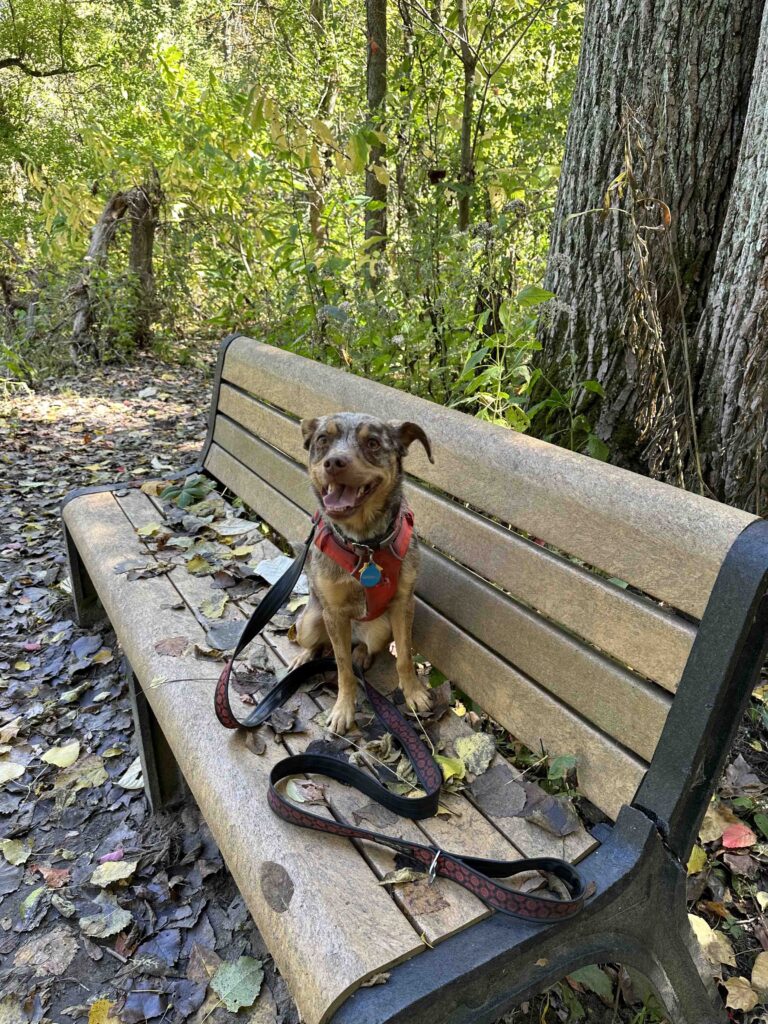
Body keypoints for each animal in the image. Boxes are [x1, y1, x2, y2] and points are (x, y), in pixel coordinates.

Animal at [290, 411, 434, 733]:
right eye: (322, 440)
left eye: (373, 443)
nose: (334, 462)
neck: (364, 544)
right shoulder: (333, 613)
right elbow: (342, 667)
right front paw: (344, 709)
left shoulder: (403, 604)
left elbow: (404, 656)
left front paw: (414, 692)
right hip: (309, 621)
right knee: (316, 643)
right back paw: (304, 657)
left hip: (380, 628)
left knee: (364, 647)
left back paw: (361, 654)